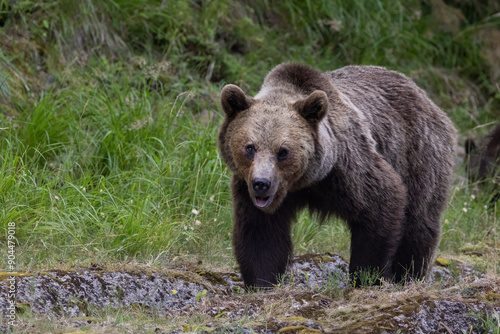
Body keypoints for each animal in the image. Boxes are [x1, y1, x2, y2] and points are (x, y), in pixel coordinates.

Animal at [219, 64, 458, 288]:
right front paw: (263, 282)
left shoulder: (347, 168)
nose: (262, 184)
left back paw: (409, 275)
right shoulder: (247, 187)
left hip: (418, 154)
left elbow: (381, 203)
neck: (305, 182)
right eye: (250, 147)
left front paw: (365, 276)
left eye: (283, 151)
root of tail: (426, 98)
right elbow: (261, 234)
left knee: (418, 222)